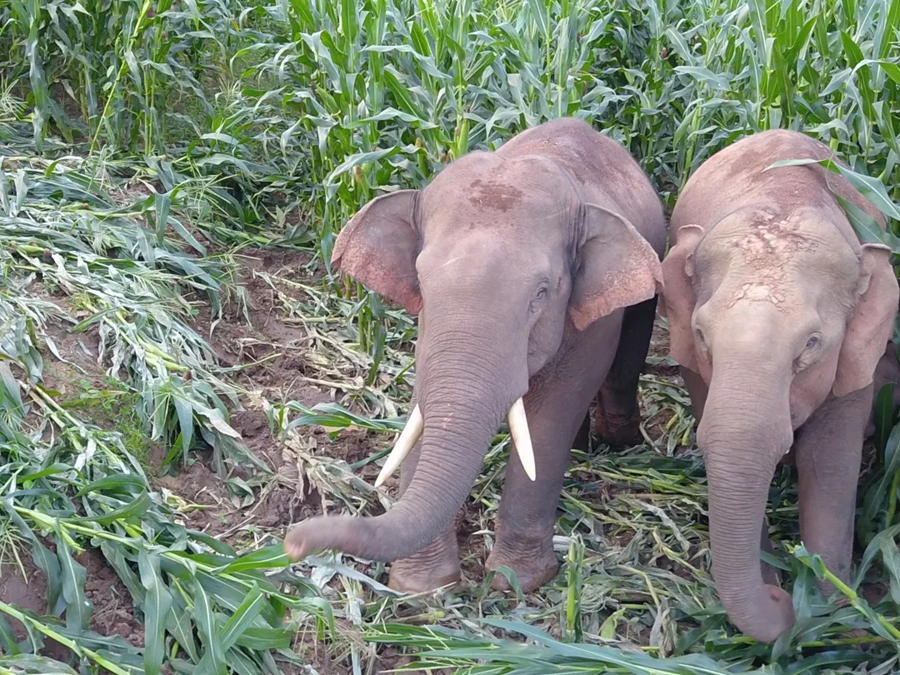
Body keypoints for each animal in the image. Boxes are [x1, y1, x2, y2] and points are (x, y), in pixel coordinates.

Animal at [283, 117, 668, 593]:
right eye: (421, 281)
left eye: (541, 293)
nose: (293, 543)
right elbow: (425, 407)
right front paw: (425, 588)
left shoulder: (592, 323)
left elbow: (551, 419)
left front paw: (516, 581)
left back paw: (618, 442)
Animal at [660, 128, 899, 642]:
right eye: (702, 334)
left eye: (811, 344)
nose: (785, 600)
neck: (782, 198)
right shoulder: (692, 359)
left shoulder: (854, 359)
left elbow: (827, 461)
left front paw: (834, 609)